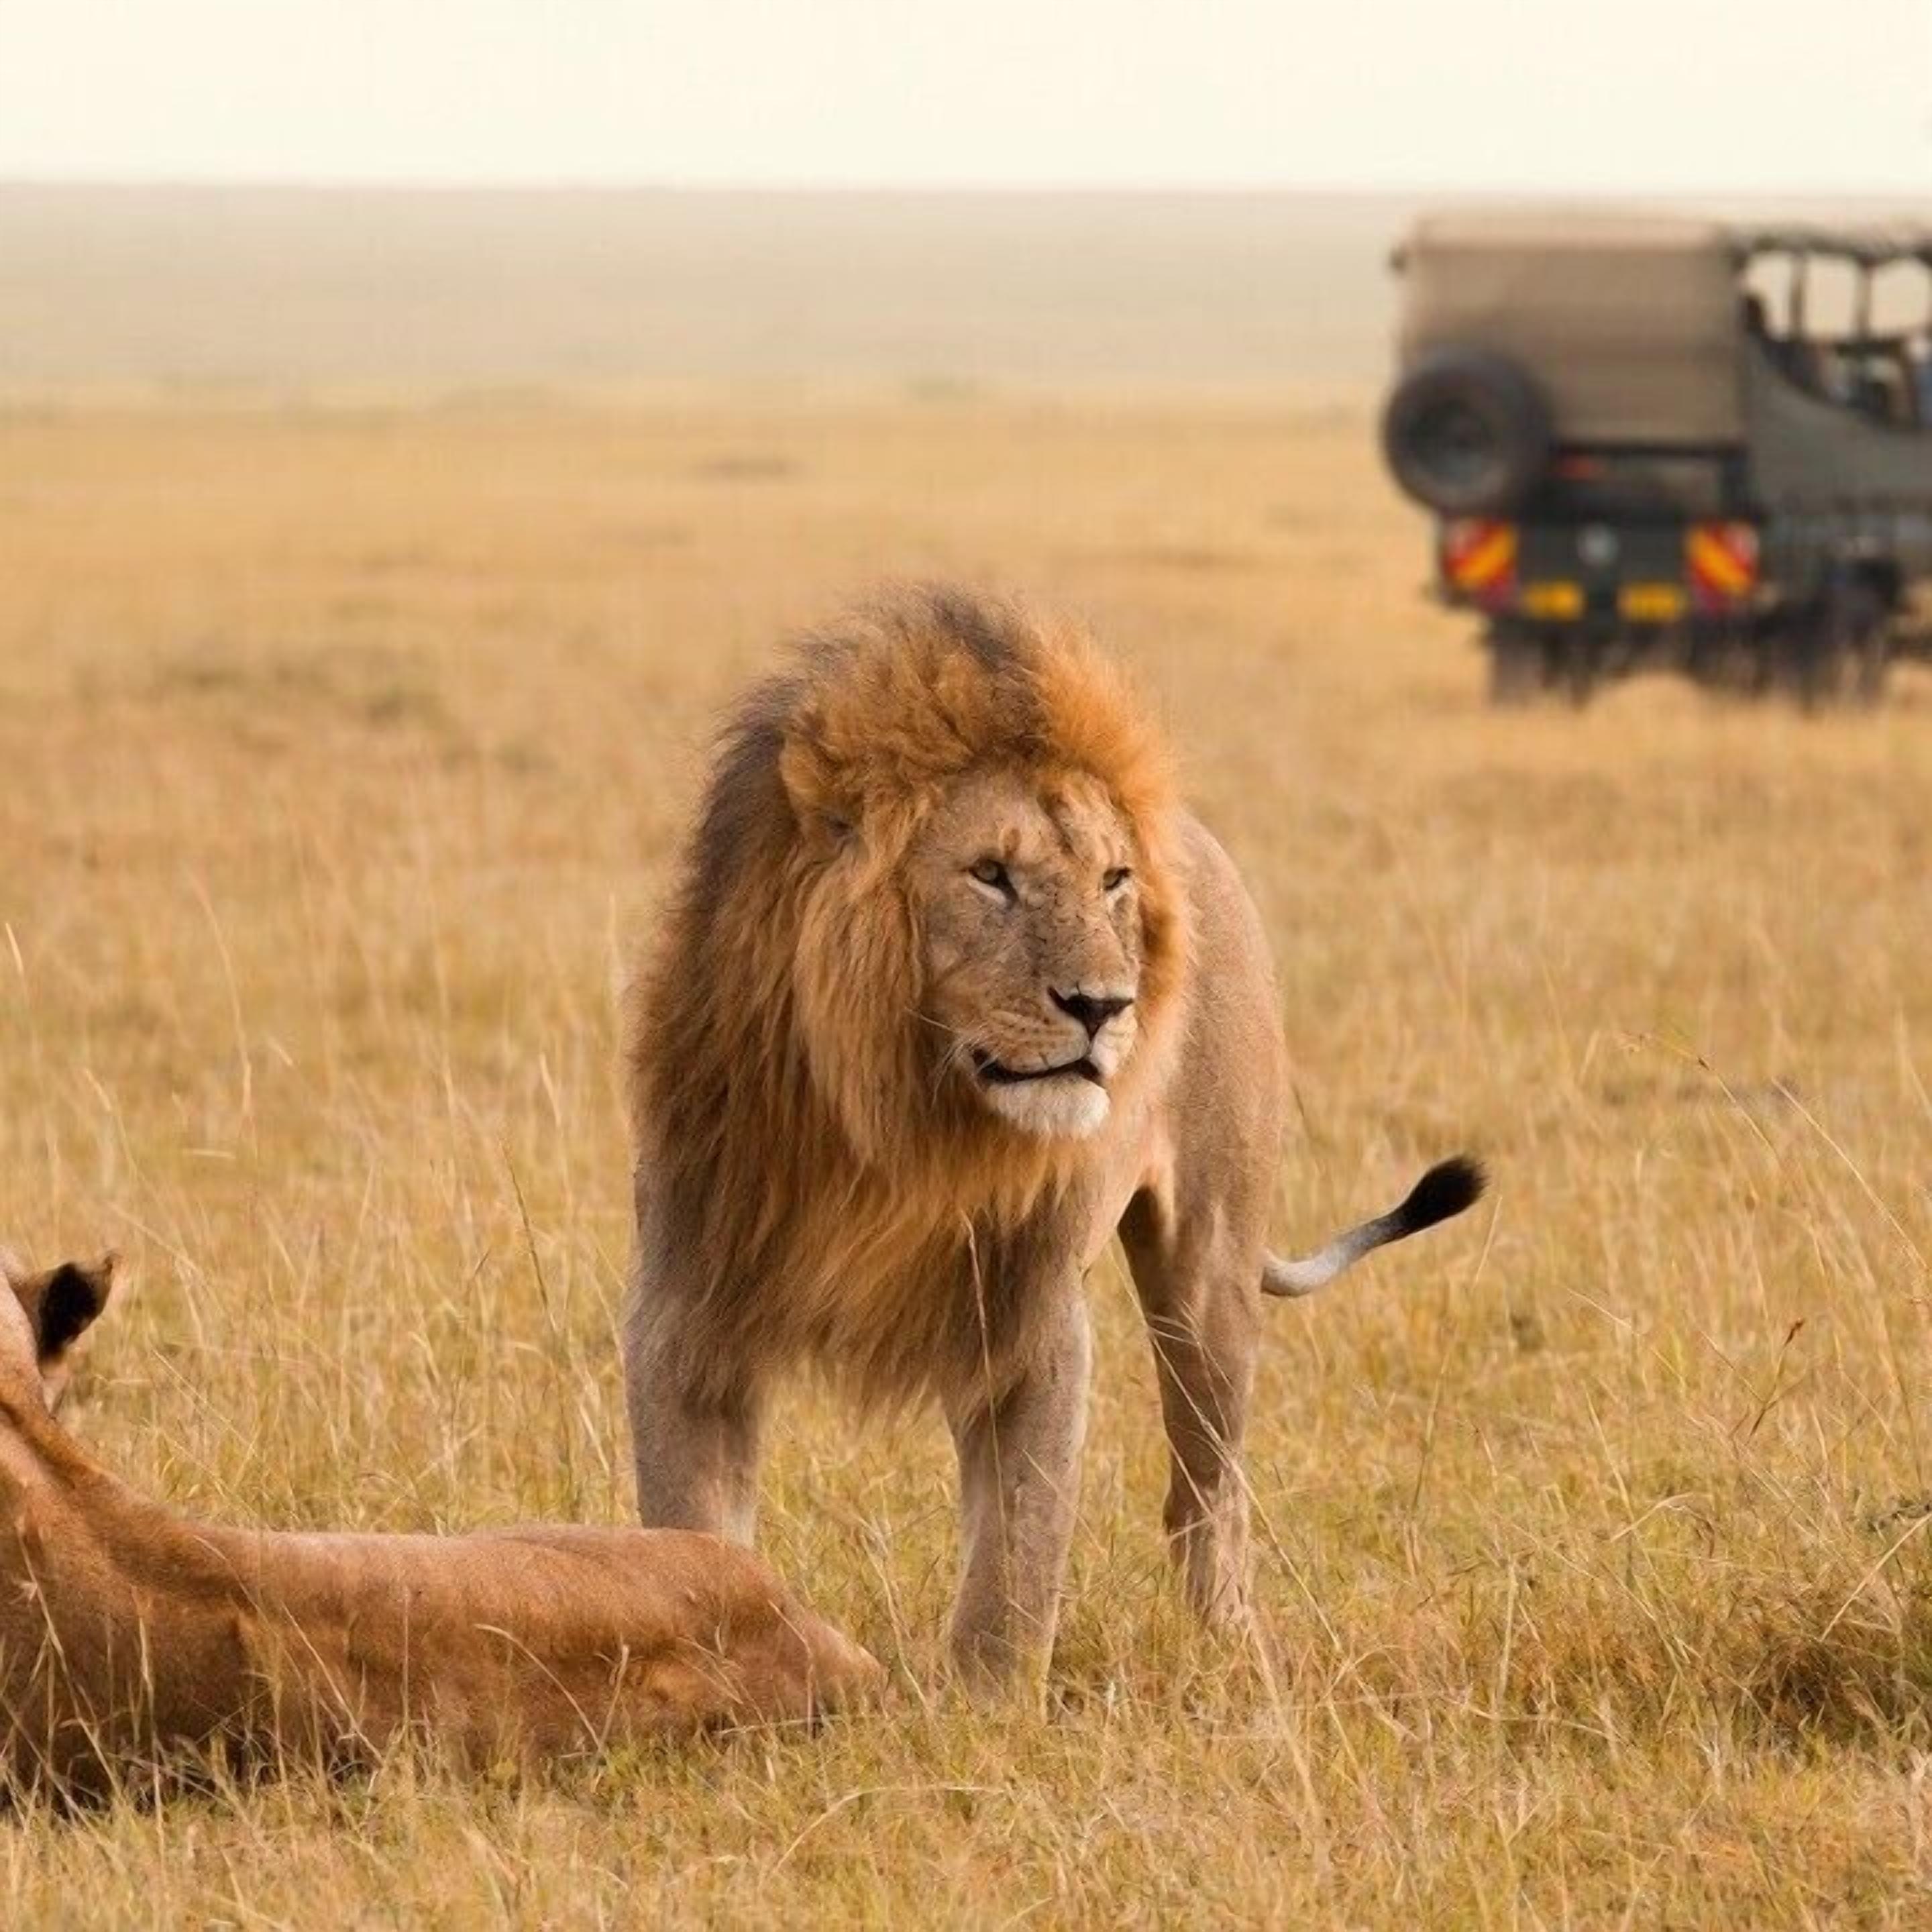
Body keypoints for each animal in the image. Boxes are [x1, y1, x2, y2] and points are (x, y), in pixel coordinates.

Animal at [623, 587, 1483, 1683]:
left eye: (1112, 880)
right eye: (990, 874)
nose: (1104, 1006)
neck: (896, 1126)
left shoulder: (1032, 1319)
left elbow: (1017, 1560)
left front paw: (982, 1712)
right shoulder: (688, 1309)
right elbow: (690, 1530)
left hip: (1208, 1272)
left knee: (1206, 1492)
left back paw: (1235, 1653)